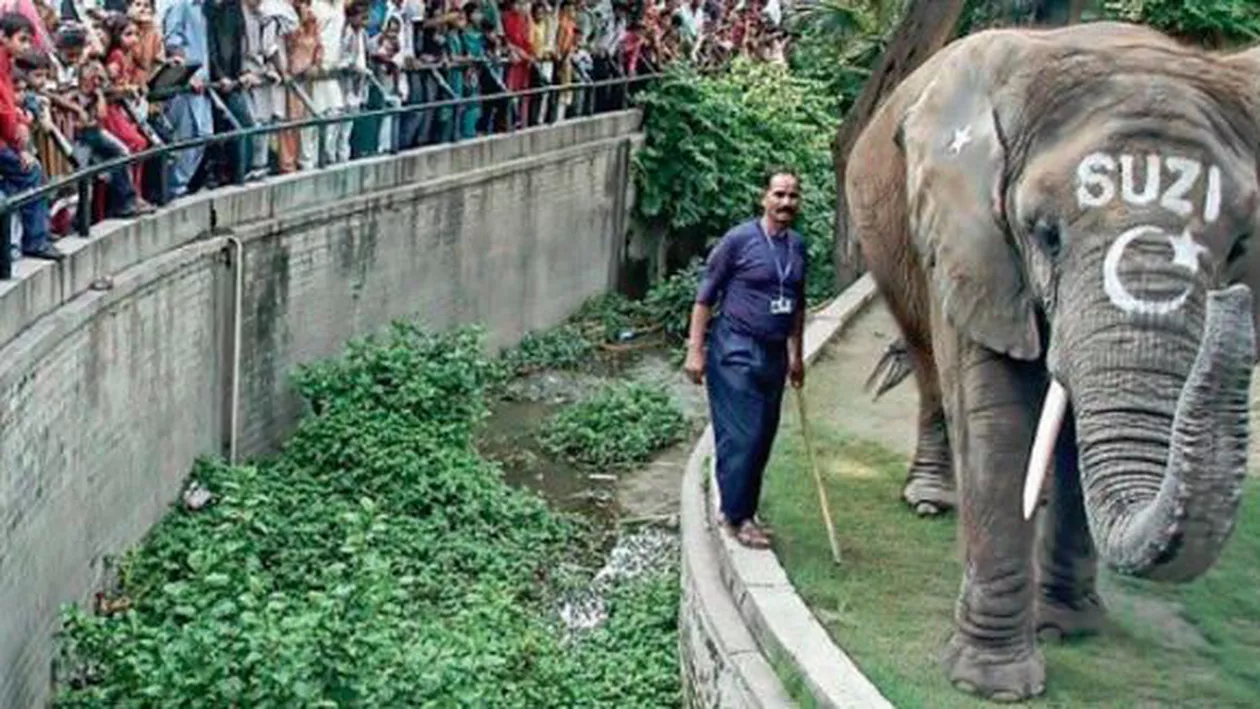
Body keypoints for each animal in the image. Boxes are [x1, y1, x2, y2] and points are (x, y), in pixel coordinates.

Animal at [844, 21, 1260, 701]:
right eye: (1045, 234)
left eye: (1241, 245)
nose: (1234, 304)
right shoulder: (973, 237)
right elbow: (999, 419)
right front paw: (993, 686)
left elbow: (1069, 441)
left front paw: (1068, 628)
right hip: (886, 232)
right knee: (927, 362)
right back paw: (930, 499)